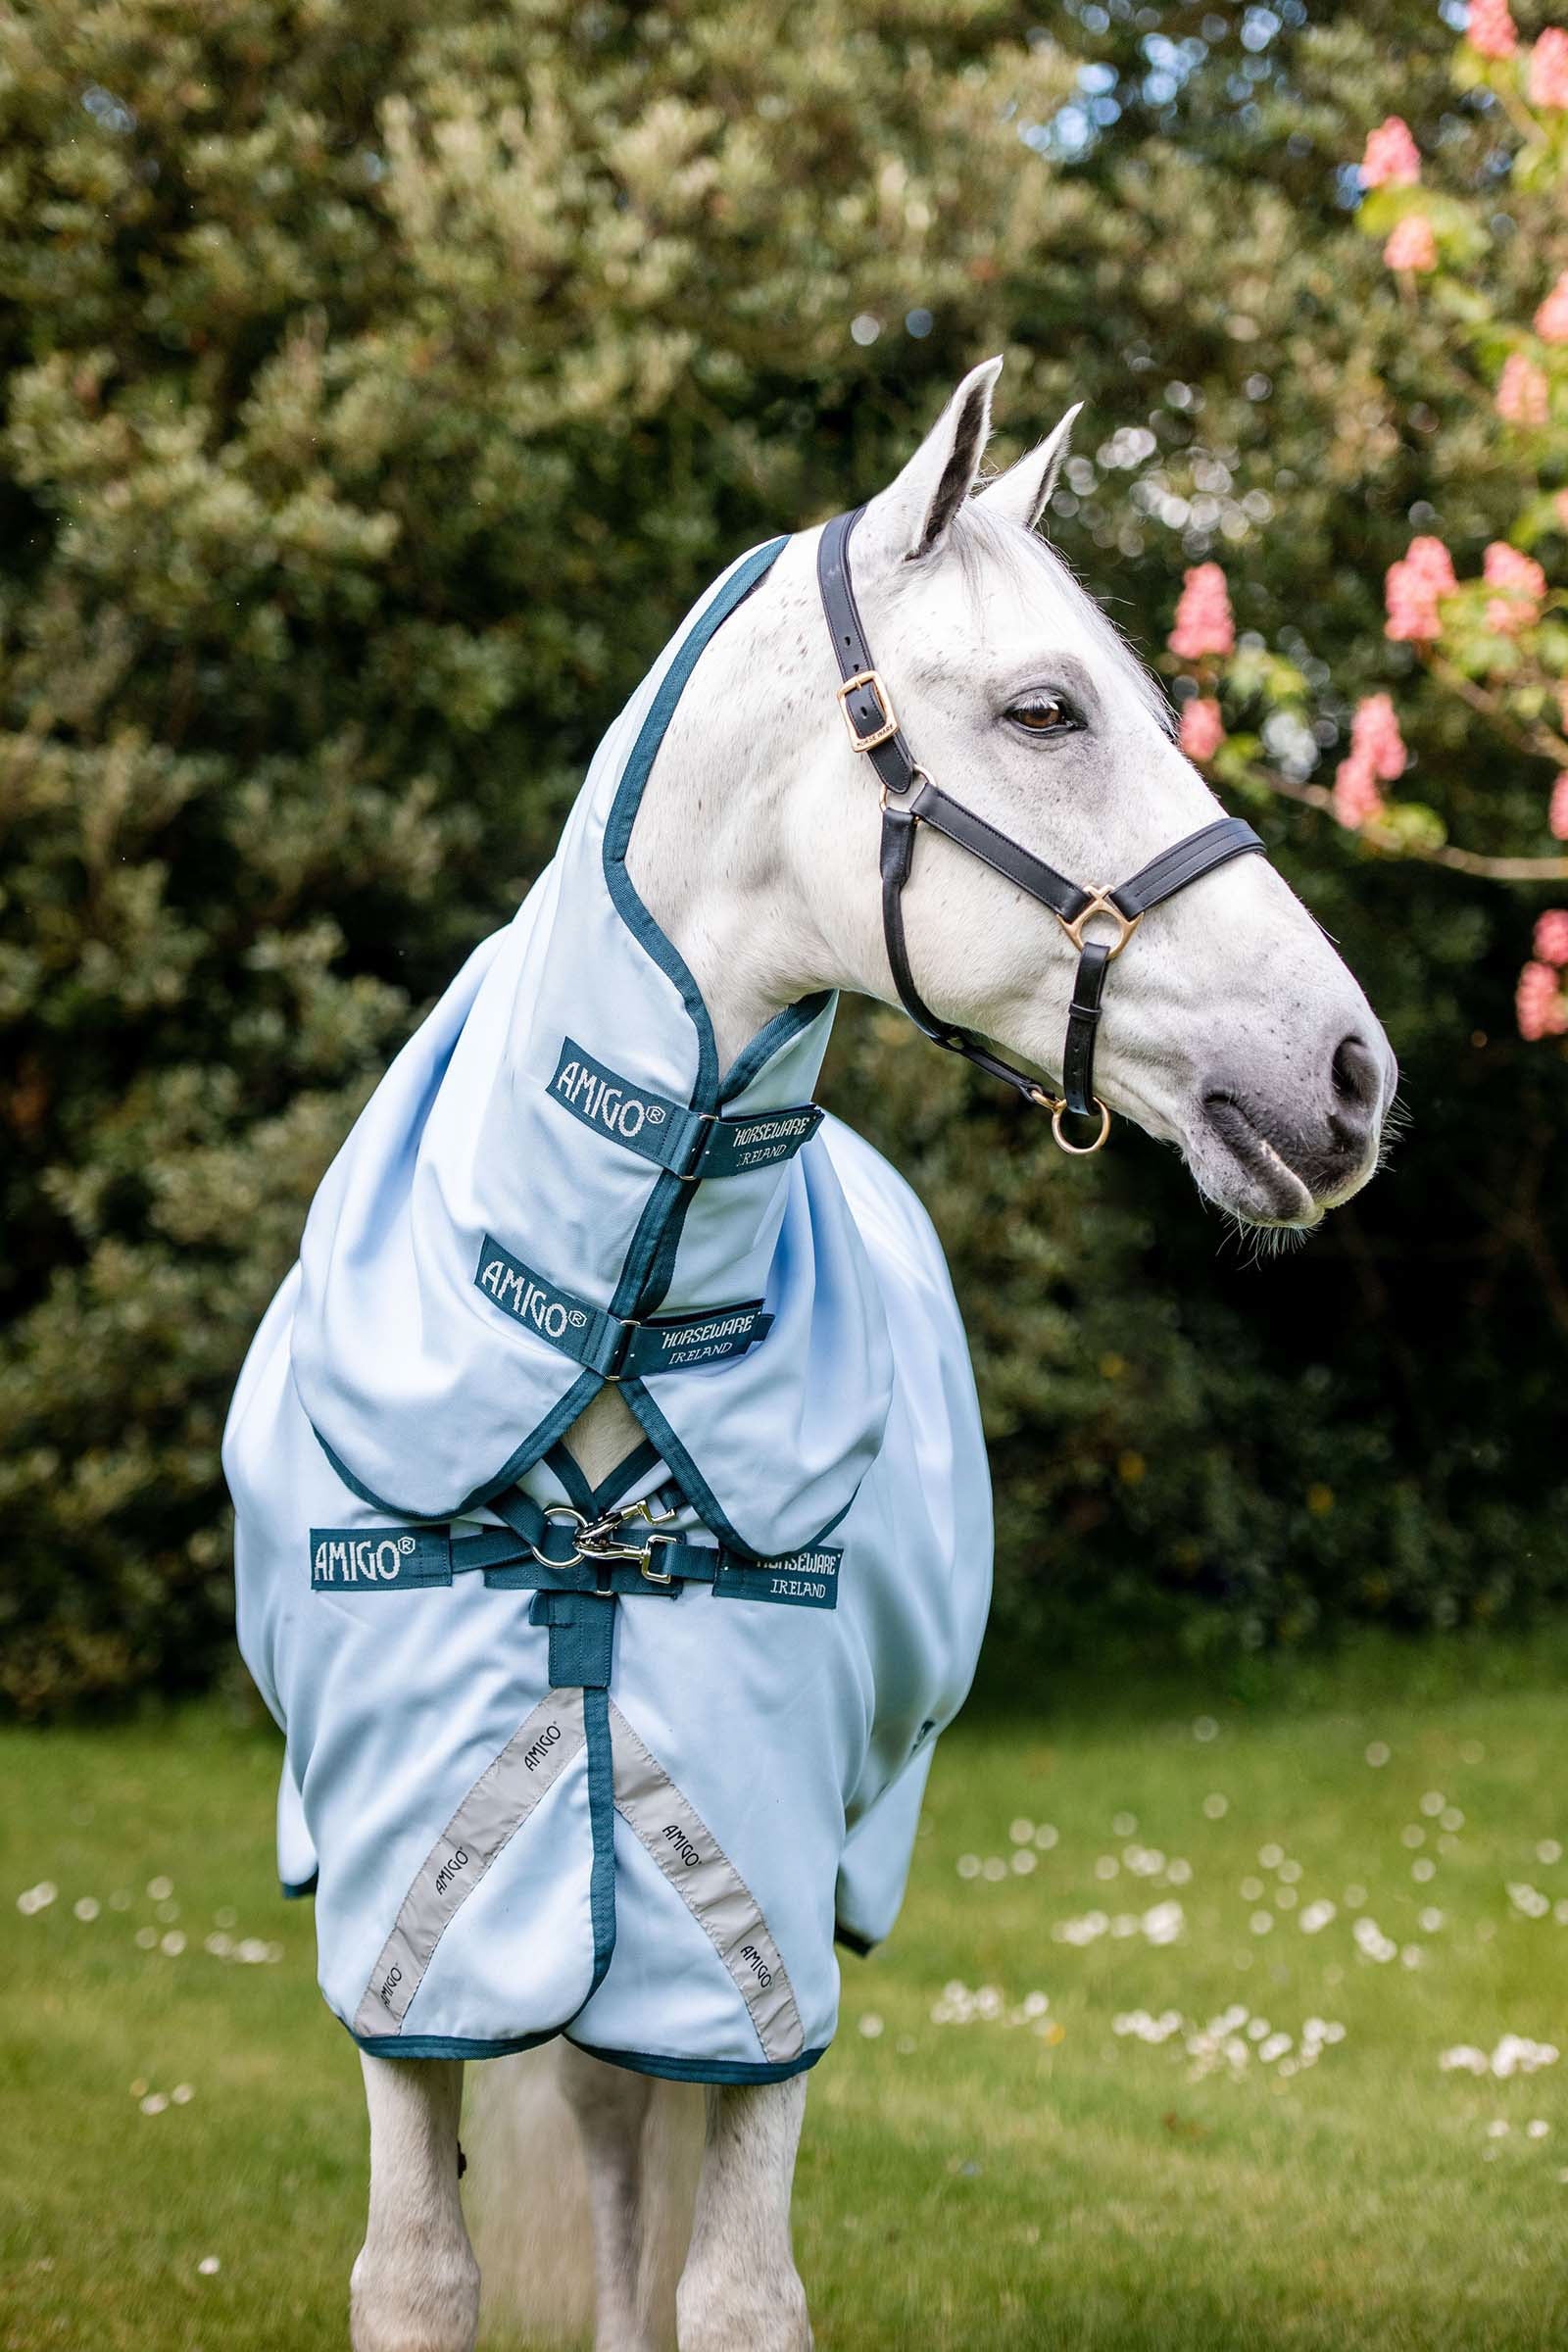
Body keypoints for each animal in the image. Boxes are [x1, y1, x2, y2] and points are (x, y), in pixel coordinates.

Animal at [222, 356, 1394, 2352]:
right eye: (1044, 709)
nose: (1348, 1075)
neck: (604, 1333)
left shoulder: (757, 1910)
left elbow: (738, 2292)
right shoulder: (398, 1923)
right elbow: (420, 2275)